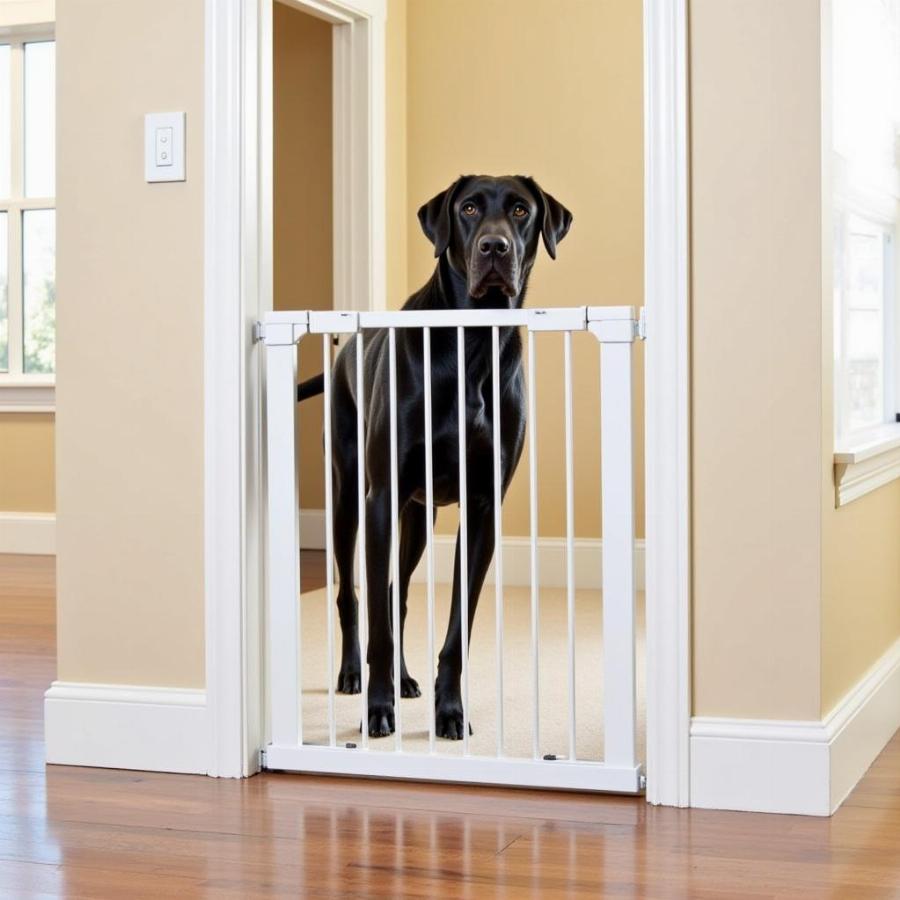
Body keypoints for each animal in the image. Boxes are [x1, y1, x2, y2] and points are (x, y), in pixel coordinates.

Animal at [298, 174, 572, 740]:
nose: (494, 247)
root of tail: (345, 347)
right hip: (349, 498)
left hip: (418, 520)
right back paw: (354, 674)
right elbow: (377, 621)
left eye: (521, 210)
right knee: (355, 594)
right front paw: (377, 709)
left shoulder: (483, 509)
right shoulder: (382, 498)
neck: (472, 340)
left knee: (395, 594)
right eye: (468, 208)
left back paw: (403, 679)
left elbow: (454, 630)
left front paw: (450, 711)